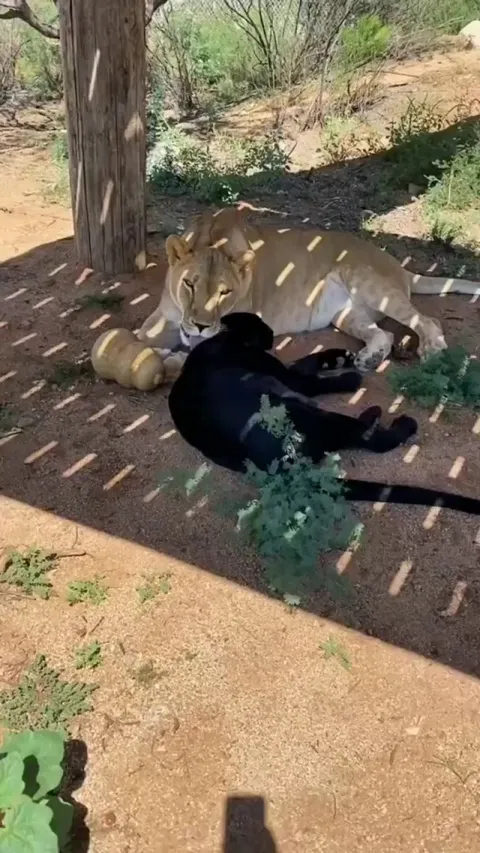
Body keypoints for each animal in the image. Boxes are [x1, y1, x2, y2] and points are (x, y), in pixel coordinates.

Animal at [137, 206, 480, 373]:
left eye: (225, 293)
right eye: (188, 284)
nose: (198, 325)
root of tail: (399, 266)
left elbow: (198, 350)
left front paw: (172, 359)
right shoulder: (161, 317)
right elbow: (142, 337)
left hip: (366, 280)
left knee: (427, 321)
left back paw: (431, 350)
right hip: (347, 314)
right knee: (384, 334)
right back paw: (368, 359)